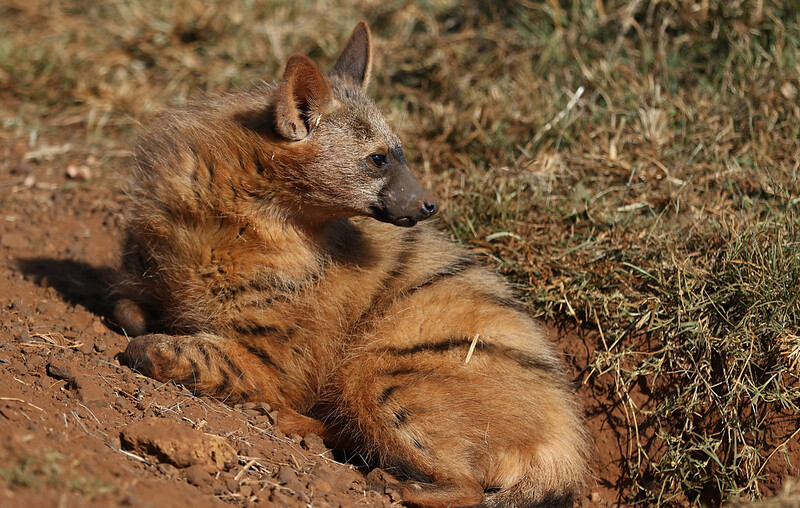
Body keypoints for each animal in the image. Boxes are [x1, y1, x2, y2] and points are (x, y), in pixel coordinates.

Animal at [115, 21, 587, 507]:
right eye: (378, 158)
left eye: (400, 153)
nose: (431, 204)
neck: (240, 220)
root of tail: (563, 446)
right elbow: (128, 310)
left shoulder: (278, 362)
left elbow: (159, 350)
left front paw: (158, 347)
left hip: (380, 372)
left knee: (469, 486)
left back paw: (386, 480)